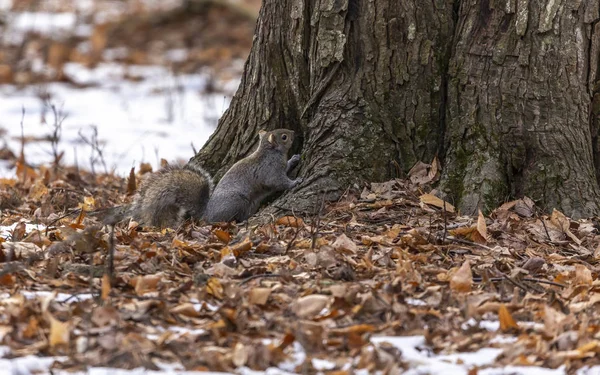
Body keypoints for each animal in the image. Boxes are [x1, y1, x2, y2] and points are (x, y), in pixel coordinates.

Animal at [101, 129, 302, 228]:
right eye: (284, 136)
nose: (294, 132)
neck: (269, 152)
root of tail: (206, 213)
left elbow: (286, 168)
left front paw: (294, 159)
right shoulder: (270, 170)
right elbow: (279, 182)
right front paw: (295, 182)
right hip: (236, 201)